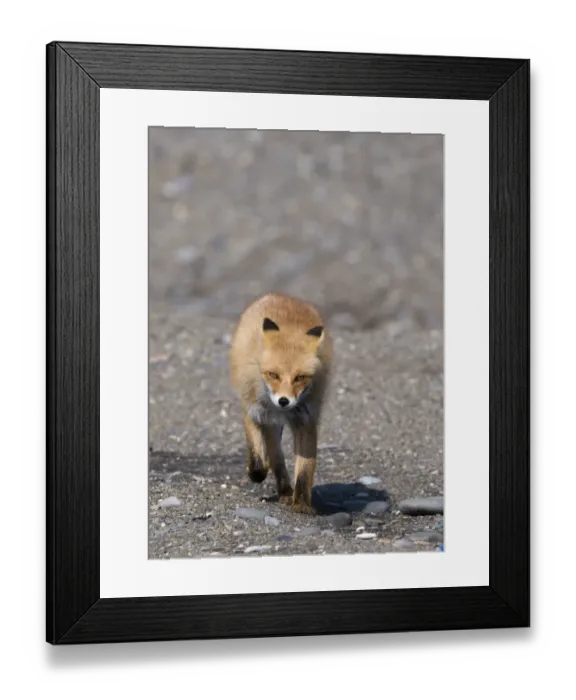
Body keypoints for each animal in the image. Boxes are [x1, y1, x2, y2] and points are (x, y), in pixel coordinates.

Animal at [229, 292, 332, 514]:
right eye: (273, 375)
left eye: (300, 377)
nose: (284, 401)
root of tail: (278, 295)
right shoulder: (255, 412)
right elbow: (259, 456)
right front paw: (257, 472)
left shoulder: (306, 420)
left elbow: (304, 470)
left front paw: (301, 503)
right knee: (273, 455)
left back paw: (285, 491)